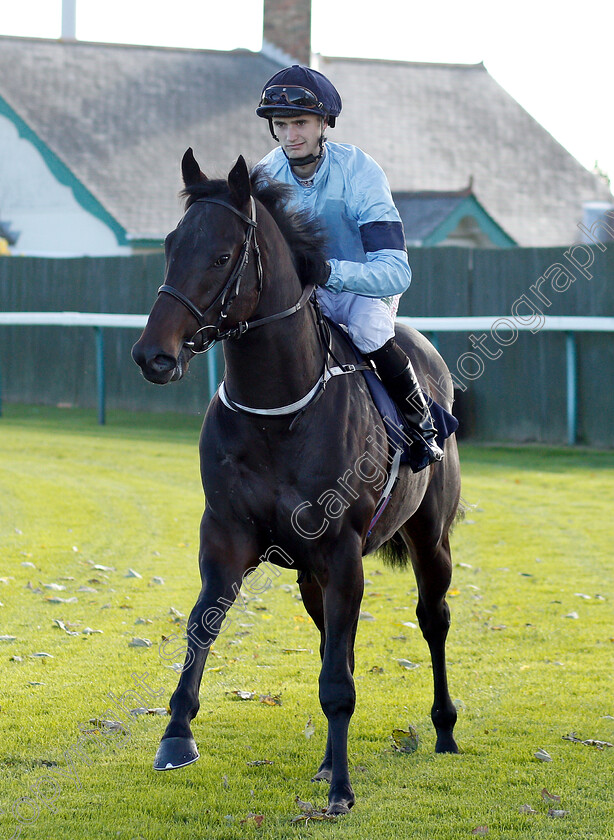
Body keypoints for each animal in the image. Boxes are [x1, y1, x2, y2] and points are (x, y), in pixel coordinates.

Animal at [134, 148, 462, 816]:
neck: (279, 412)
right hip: (312, 575)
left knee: (432, 618)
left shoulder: (341, 551)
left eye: (223, 255)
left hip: (429, 538)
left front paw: (341, 790)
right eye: (171, 244)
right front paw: (176, 734)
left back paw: (442, 728)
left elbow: (338, 680)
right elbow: (203, 623)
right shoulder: (227, 537)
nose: (154, 355)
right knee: (336, 640)